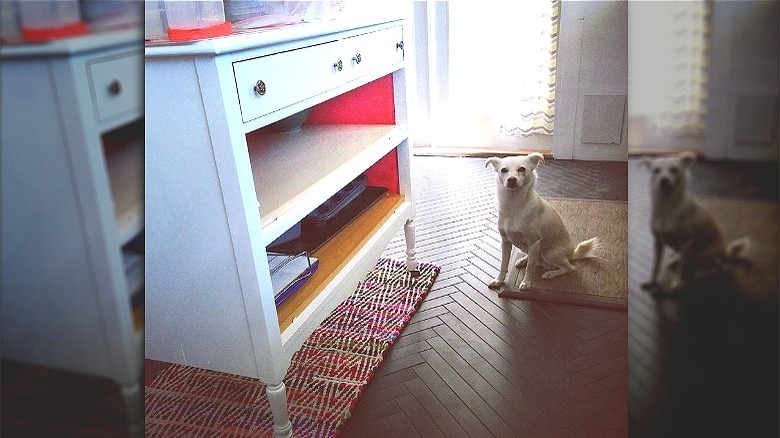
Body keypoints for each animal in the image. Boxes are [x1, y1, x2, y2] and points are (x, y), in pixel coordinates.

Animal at [484, 154, 600, 290]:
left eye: (522, 169)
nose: (511, 179)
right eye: (503, 170)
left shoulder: (535, 242)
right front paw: (499, 280)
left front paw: (526, 283)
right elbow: (503, 264)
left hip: (548, 252)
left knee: (570, 268)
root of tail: (572, 254)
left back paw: (551, 273)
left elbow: (530, 267)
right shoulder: (505, 241)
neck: (513, 204)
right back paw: (524, 259)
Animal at [640, 152, 748, 292]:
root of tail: (725, 253)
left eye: (674, 169)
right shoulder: (658, 242)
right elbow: (656, 265)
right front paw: (652, 281)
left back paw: (699, 275)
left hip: (703, 254)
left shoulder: (688, 242)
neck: (666, 205)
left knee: (721, 268)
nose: (664, 180)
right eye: (656, 171)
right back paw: (676, 260)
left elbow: (683, 267)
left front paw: (679, 283)